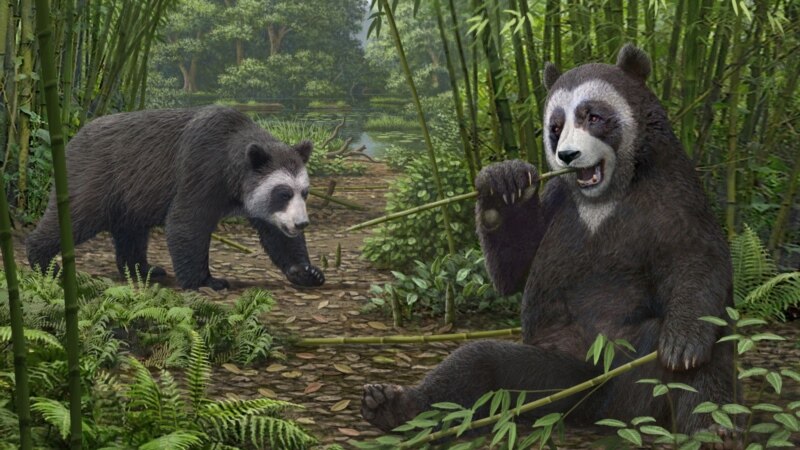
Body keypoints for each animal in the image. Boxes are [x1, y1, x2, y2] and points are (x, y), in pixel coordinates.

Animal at [26, 105, 325, 290]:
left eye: (304, 192)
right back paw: (43, 261)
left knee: (131, 231)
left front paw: (306, 271)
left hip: (130, 192)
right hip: (97, 174)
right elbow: (186, 222)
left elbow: (275, 233)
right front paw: (207, 280)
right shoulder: (202, 166)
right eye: (283, 193)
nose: (301, 223)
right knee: (76, 215)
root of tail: (73, 137)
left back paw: (143, 269)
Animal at [360, 45, 737, 443]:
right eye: (555, 127)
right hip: (550, 374)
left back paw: (715, 428)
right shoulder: (559, 198)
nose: (568, 155)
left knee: (707, 357)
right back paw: (391, 406)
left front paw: (683, 343)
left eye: (593, 116)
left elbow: (698, 257)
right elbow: (517, 266)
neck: (604, 195)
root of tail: (597, 404)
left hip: (635, 365)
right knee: (476, 365)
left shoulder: (672, 189)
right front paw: (502, 183)